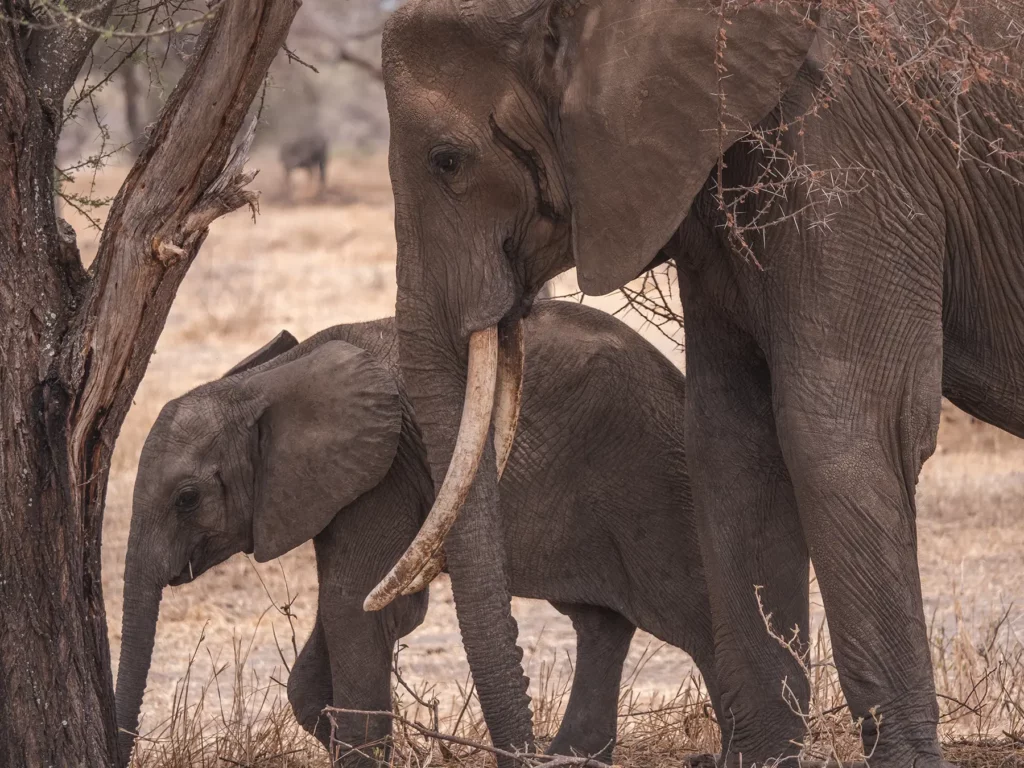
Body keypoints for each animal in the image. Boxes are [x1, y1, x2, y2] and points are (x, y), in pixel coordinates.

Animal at [114, 300, 717, 767]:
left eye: (187, 498)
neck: (264, 383)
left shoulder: (383, 476)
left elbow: (351, 607)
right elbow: (337, 630)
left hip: (650, 480)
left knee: (694, 618)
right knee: (600, 623)